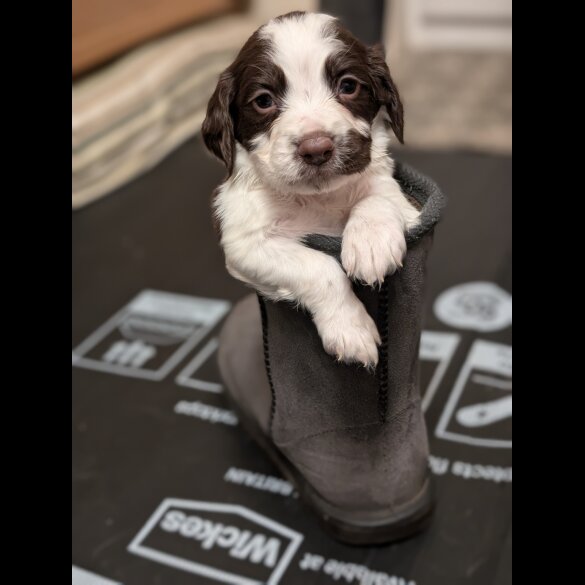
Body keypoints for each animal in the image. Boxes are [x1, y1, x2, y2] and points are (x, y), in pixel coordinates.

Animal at [203, 11, 418, 368]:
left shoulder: (403, 201)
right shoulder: (245, 243)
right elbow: (320, 268)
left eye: (348, 86)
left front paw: (371, 243)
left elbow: (377, 196)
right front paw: (351, 329)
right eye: (263, 101)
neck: (318, 198)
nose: (316, 148)